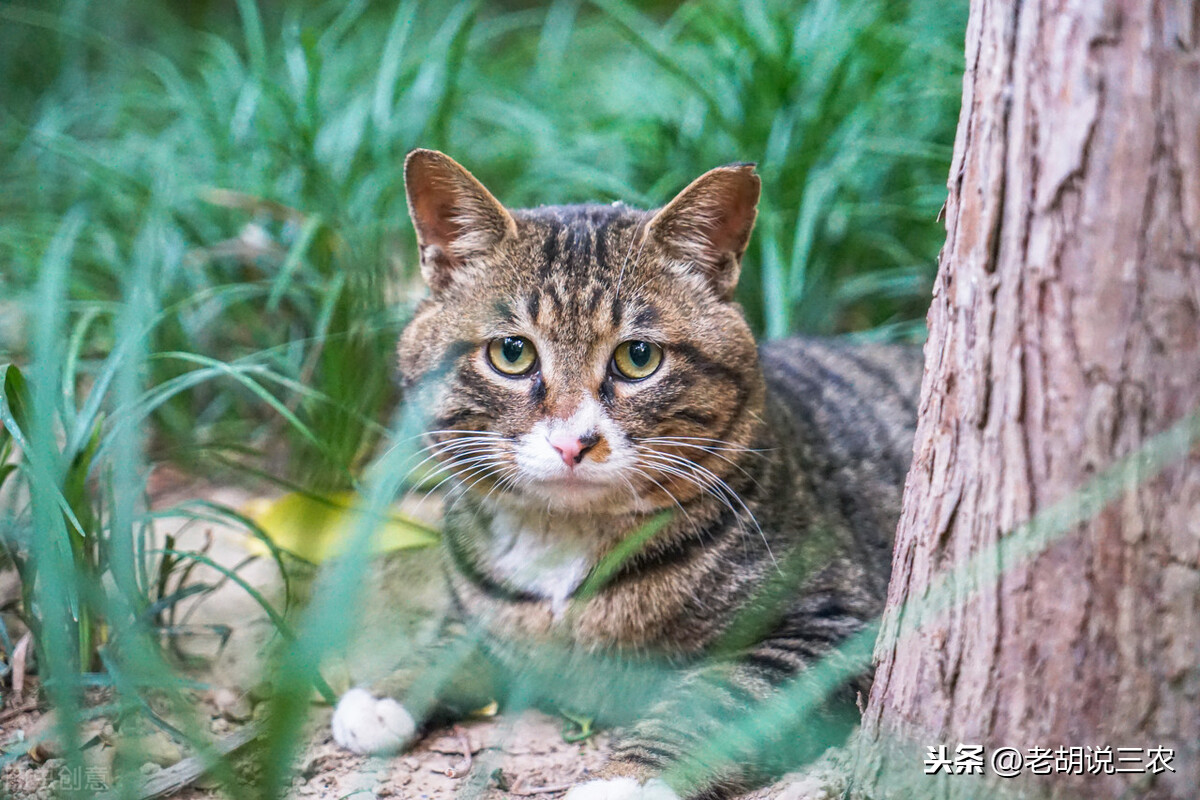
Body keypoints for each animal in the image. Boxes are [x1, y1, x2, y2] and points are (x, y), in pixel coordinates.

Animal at [328, 149, 916, 800]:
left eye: (638, 358)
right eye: (512, 352)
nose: (572, 443)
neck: (563, 543)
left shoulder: (829, 627)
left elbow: (713, 698)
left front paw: (625, 779)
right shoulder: (490, 623)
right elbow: (452, 643)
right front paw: (382, 694)